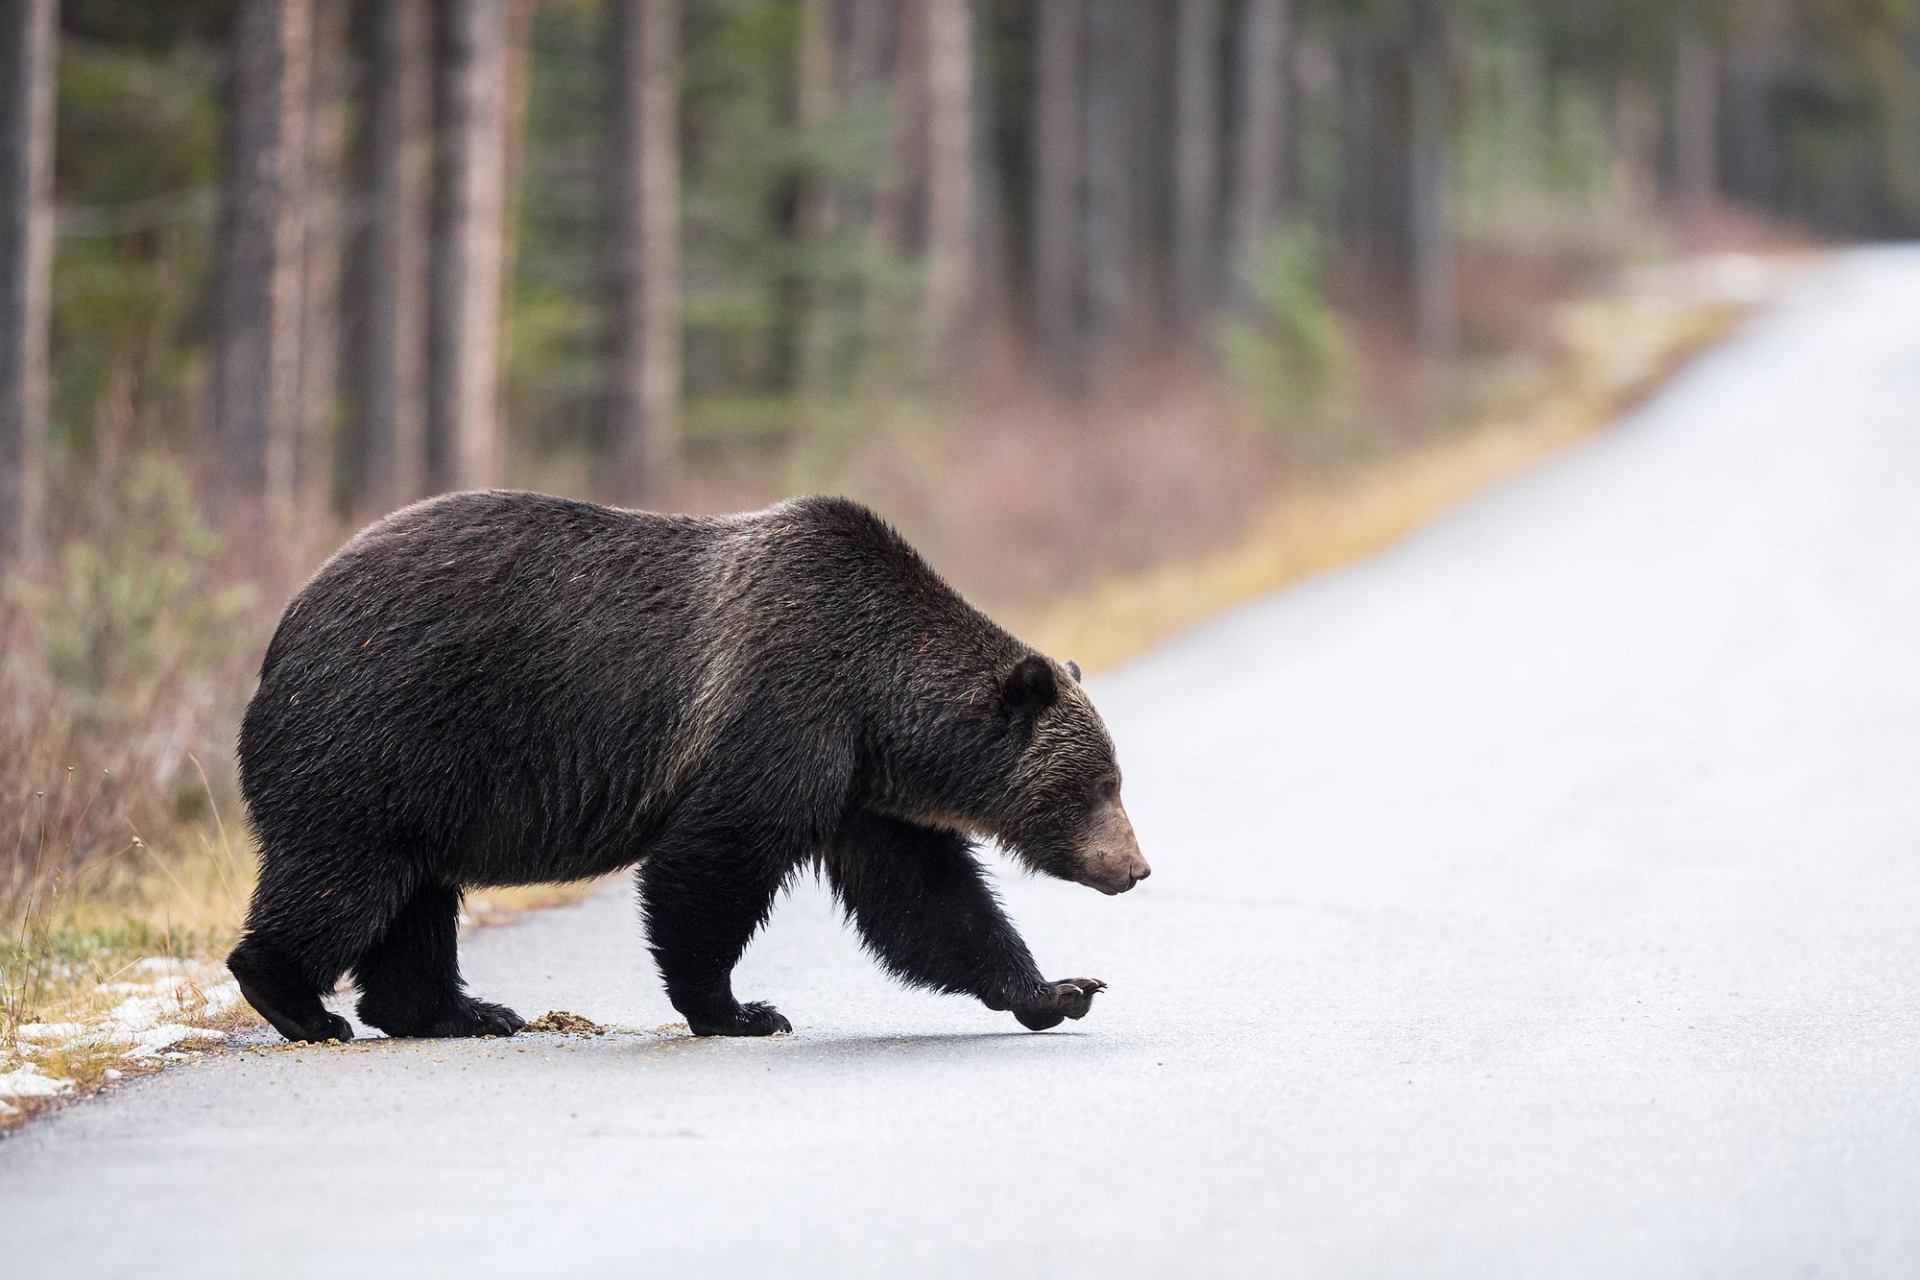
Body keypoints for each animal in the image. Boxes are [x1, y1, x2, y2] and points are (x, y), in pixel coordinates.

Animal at [230, 491, 1144, 1043]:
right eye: (1096, 784)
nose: (1135, 868)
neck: (878, 701)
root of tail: (283, 629)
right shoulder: (781, 711)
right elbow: (712, 861)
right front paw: (741, 1009)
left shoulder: (860, 786)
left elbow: (928, 899)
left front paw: (1060, 990)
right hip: (383, 733)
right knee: (344, 876)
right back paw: (299, 1003)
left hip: (421, 781)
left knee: (414, 896)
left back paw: (460, 1010)